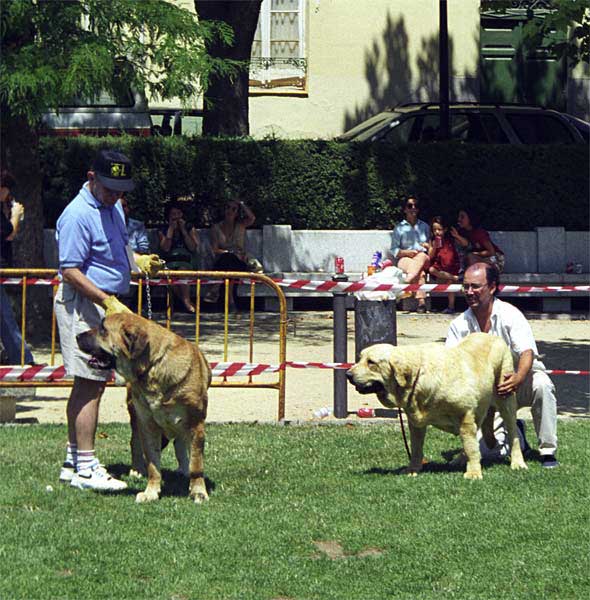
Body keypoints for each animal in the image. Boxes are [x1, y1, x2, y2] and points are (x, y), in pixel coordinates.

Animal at [75, 312, 210, 504]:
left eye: (103, 329)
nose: (77, 337)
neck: (152, 366)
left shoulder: (195, 424)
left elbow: (196, 463)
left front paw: (198, 492)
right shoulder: (148, 425)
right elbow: (153, 464)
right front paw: (151, 492)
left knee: (180, 444)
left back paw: (183, 469)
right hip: (136, 417)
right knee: (136, 443)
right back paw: (137, 470)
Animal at [346, 332, 528, 478]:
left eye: (371, 362)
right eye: (360, 358)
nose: (348, 374)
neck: (418, 376)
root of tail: (494, 337)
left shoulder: (465, 416)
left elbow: (471, 446)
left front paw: (473, 473)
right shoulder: (415, 423)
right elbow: (416, 448)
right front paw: (413, 469)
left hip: (505, 397)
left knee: (512, 434)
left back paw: (518, 463)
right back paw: (459, 460)